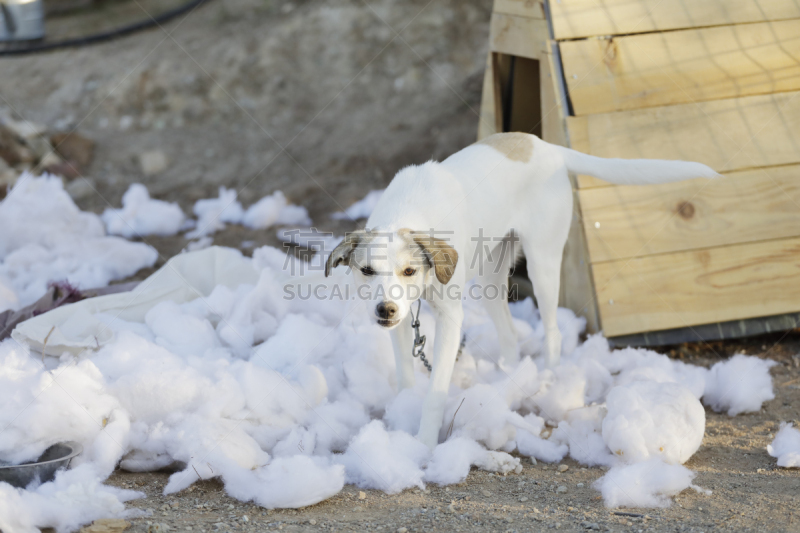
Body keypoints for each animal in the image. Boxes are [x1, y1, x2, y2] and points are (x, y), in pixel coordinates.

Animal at [324, 131, 720, 446]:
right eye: (366, 271)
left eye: (409, 271)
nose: (385, 310)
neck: (407, 215)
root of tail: (545, 146)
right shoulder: (402, 324)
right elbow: (407, 377)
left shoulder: (451, 317)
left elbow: (435, 392)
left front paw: (423, 443)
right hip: (489, 277)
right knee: (511, 335)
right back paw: (505, 385)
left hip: (543, 265)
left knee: (553, 332)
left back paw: (549, 379)